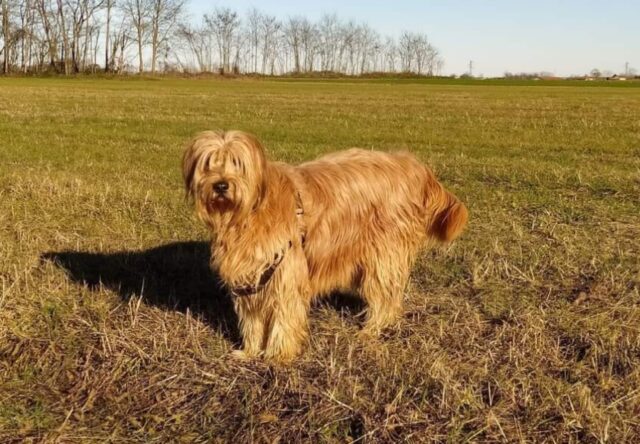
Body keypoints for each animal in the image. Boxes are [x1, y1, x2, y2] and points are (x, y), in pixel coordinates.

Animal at [182, 129, 468, 360]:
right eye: (208, 164)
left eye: (238, 164)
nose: (221, 185)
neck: (248, 213)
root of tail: (409, 164)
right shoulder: (252, 277)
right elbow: (253, 319)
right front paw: (250, 351)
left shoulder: (285, 273)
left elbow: (284, 316)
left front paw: (277, 356)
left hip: (383, 254)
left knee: (385, 296)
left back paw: (372, 329)